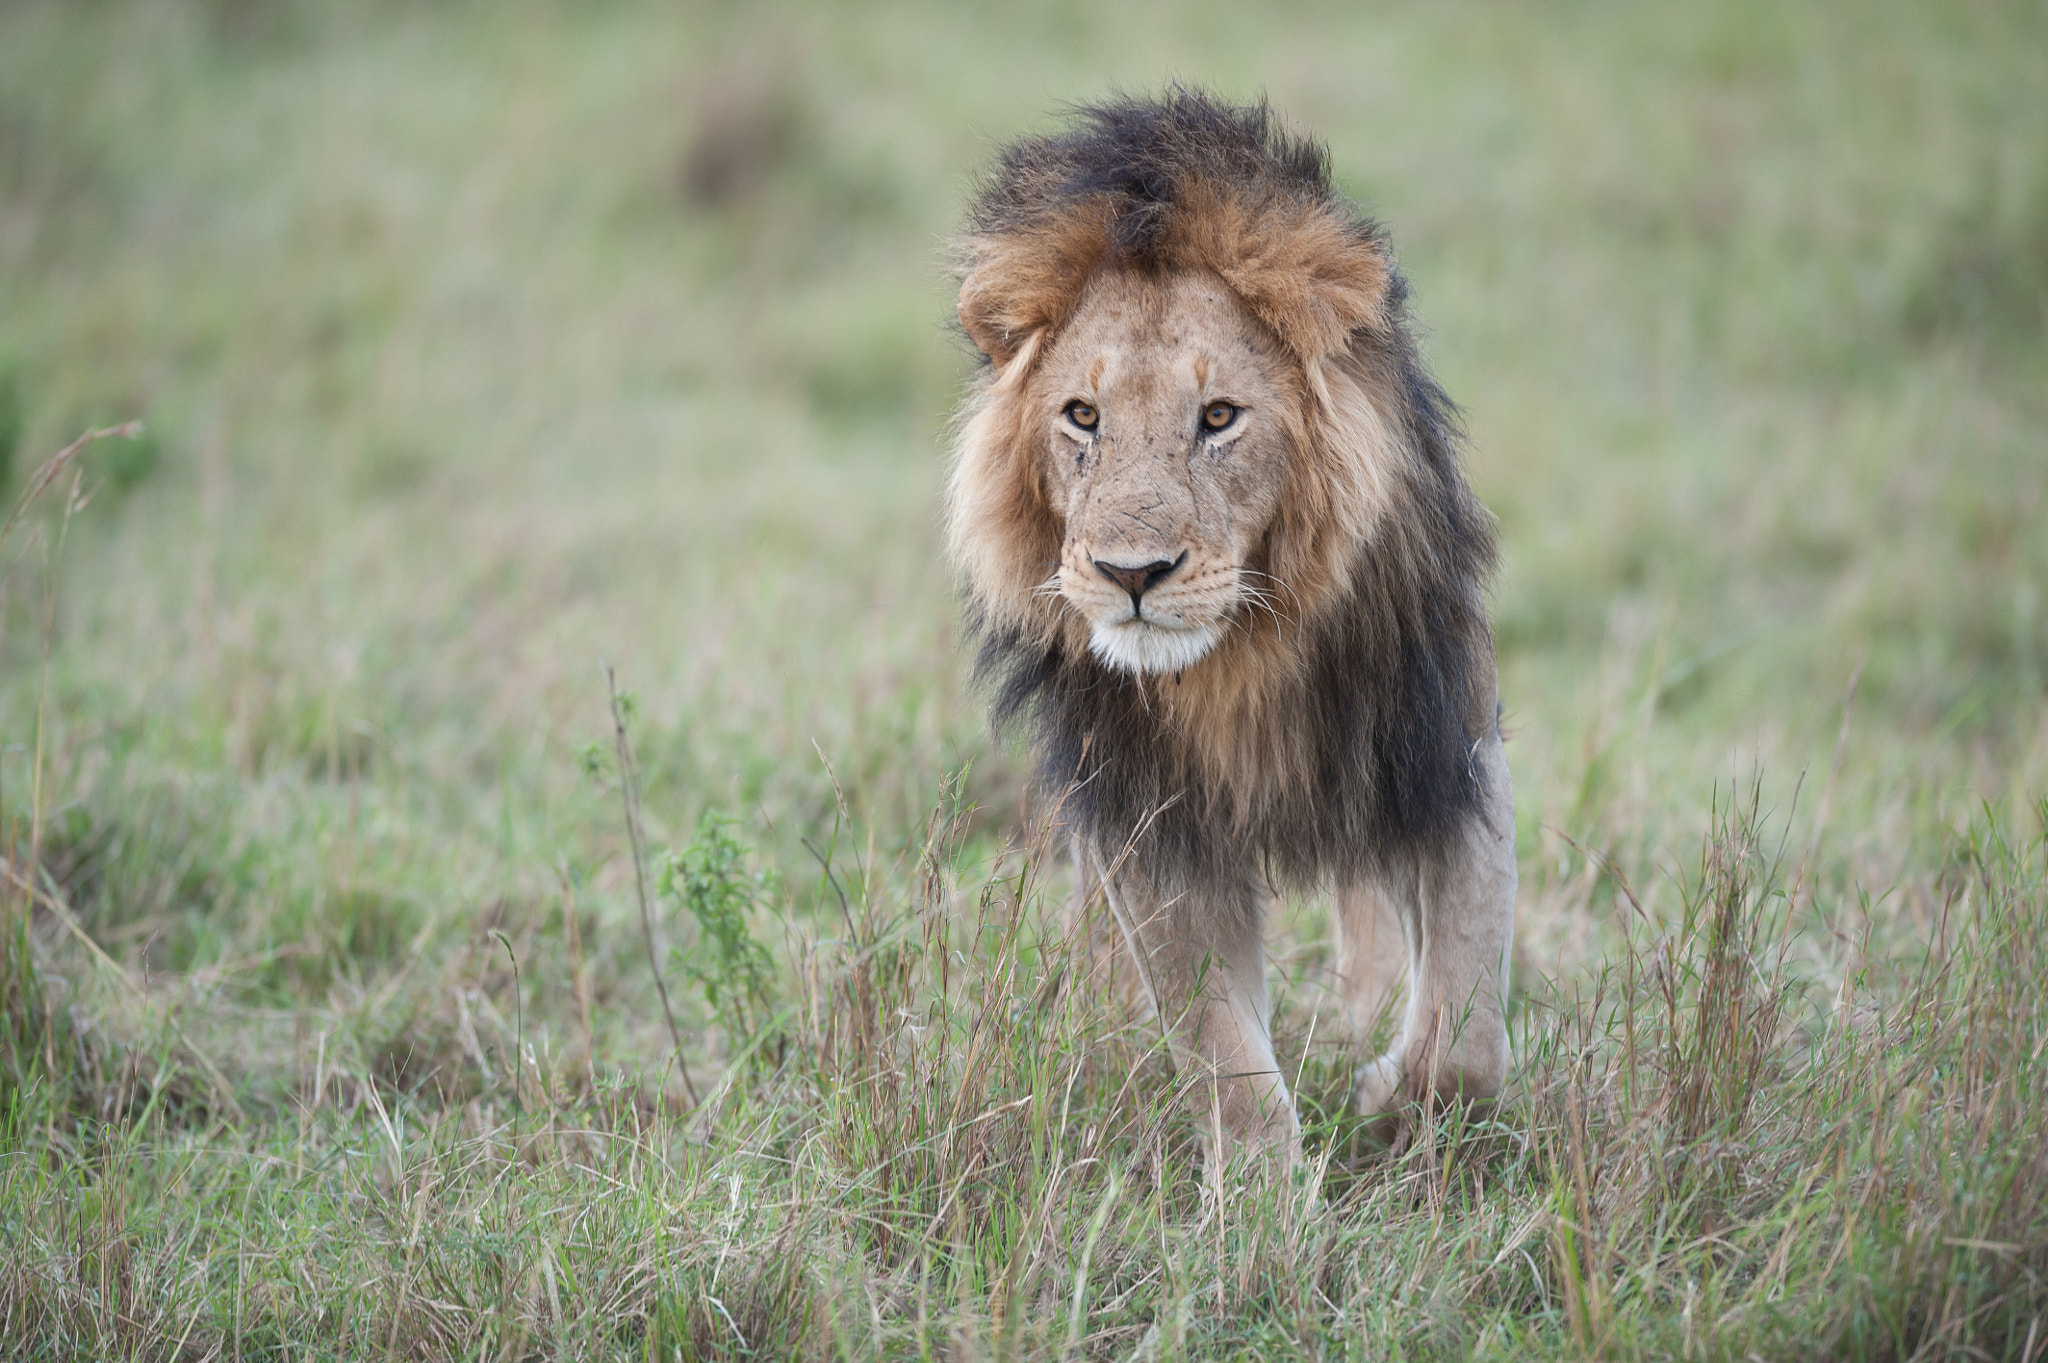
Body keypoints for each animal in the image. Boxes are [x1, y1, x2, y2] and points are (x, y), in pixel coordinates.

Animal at [946, 91, 1515, 1157]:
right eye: (1081, 416)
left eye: (1218, 417)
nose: (1131, 573)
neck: (1239, 659)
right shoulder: (1150, 821)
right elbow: (1225, 1058)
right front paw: (1265, 1193)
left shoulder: (1444, 748)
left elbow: (1468, 1017)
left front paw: (1396, 1106)